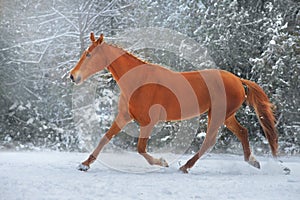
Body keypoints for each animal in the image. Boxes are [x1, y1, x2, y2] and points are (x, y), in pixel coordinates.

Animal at [69, 32, 278, 173]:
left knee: (209, 141)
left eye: (89, 55)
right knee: (242, 132)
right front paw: (84, 164)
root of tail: (237, 80)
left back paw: (185, 167)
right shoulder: (125, 116)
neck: (138, 81)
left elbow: (141, 149)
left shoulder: (148, 122)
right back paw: (252, 161)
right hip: (226, 116)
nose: (73, 76)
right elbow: (105, 138)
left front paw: (162, 162)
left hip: (217, 115)